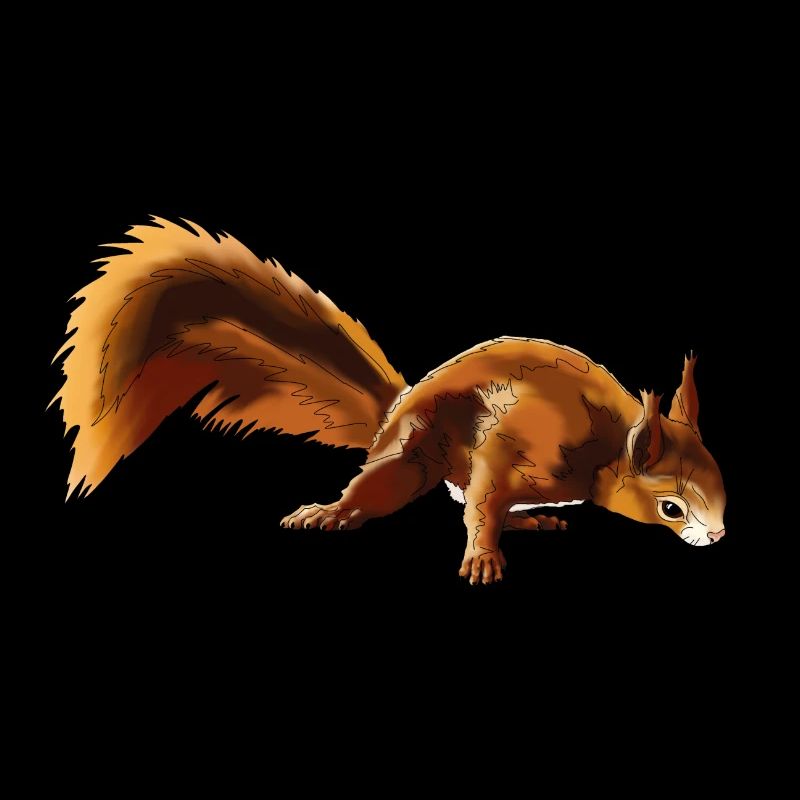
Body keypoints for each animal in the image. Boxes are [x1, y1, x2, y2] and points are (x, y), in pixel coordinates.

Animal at [53, 217, 726, 584]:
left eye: (722, 484)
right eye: (670, 507)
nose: (717, 537)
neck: (609, 442)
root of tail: (394, 411)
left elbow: (482, 504)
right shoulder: (515, 445)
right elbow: (483, 501)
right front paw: (483, 557)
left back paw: (532, 520)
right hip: (412, 452)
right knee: (392, 487)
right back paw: (332, 513)